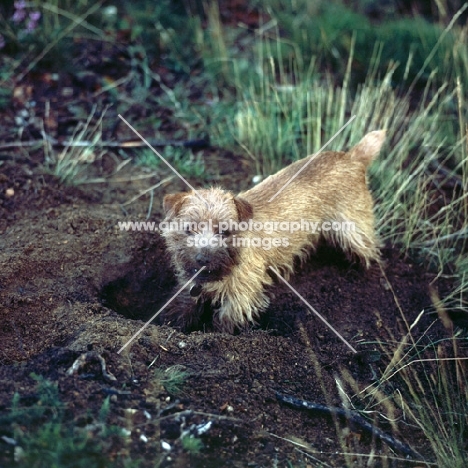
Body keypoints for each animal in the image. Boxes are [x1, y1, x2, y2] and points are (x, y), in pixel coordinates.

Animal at [160, 131, 384, 332]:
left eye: (225, 231)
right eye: (189, 229)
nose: (203, 258)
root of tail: (352, 156)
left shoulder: (241, 294)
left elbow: (226, 320)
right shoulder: (191, 285)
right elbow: (183, 304)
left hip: (353, 227)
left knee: (369, 250)